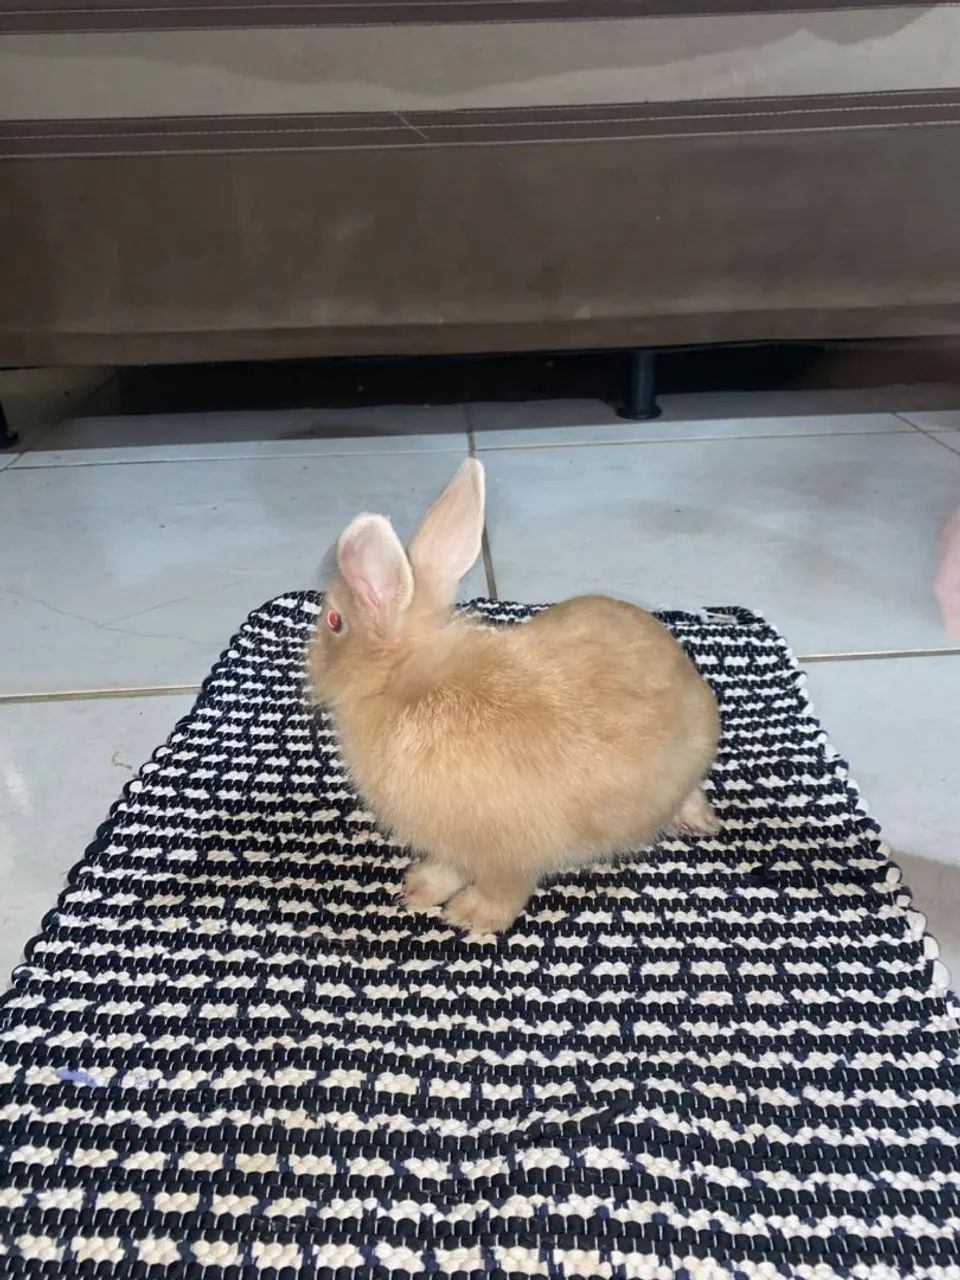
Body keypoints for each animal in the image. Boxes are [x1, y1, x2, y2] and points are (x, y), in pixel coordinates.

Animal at [308, 458, 720, 934]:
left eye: (334, 620)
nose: (309, 665)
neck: (406, 684)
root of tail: (693, 680)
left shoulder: (504, 852)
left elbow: (504, 889)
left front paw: (470, 917)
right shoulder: (452, 842)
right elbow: (449, 867)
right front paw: (419, 890)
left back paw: (697, 822)